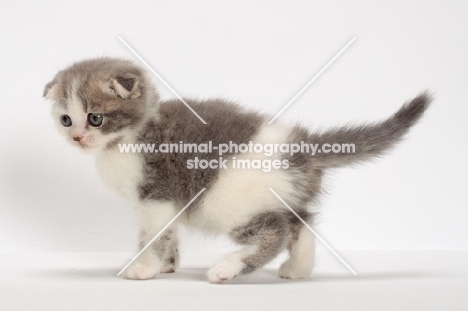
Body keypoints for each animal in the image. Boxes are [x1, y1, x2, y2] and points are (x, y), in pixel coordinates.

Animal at [44, 57, 432, 284]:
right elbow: (167, 233)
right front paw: (167, 265)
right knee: (303, 220)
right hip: (280, 194)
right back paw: (298, 269)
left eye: (95, 118)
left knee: (277, 230)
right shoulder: (164, 203)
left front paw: (144, 268)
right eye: (65, 120)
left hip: (228, 200)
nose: (77, 137)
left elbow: (152, 235)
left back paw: (227, 269)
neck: (131, 135)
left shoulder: (157, 194)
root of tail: (302, 147)